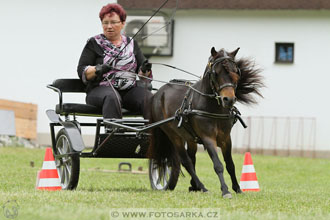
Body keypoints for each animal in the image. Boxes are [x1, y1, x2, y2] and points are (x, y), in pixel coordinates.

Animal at [148, 47, 264, 199]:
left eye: (236, 71)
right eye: (215, 73)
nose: (229, 99)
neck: (214, 108)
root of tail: (158, 93)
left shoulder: (226, 138)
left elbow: (230, 164)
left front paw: (237, 188)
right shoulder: (208, 138)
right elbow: (218, 164)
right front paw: (225, 190)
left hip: (190, 137)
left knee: (192, 158)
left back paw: (194, 186)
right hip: (173, 135)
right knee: (186, 161)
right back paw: (202, 187)